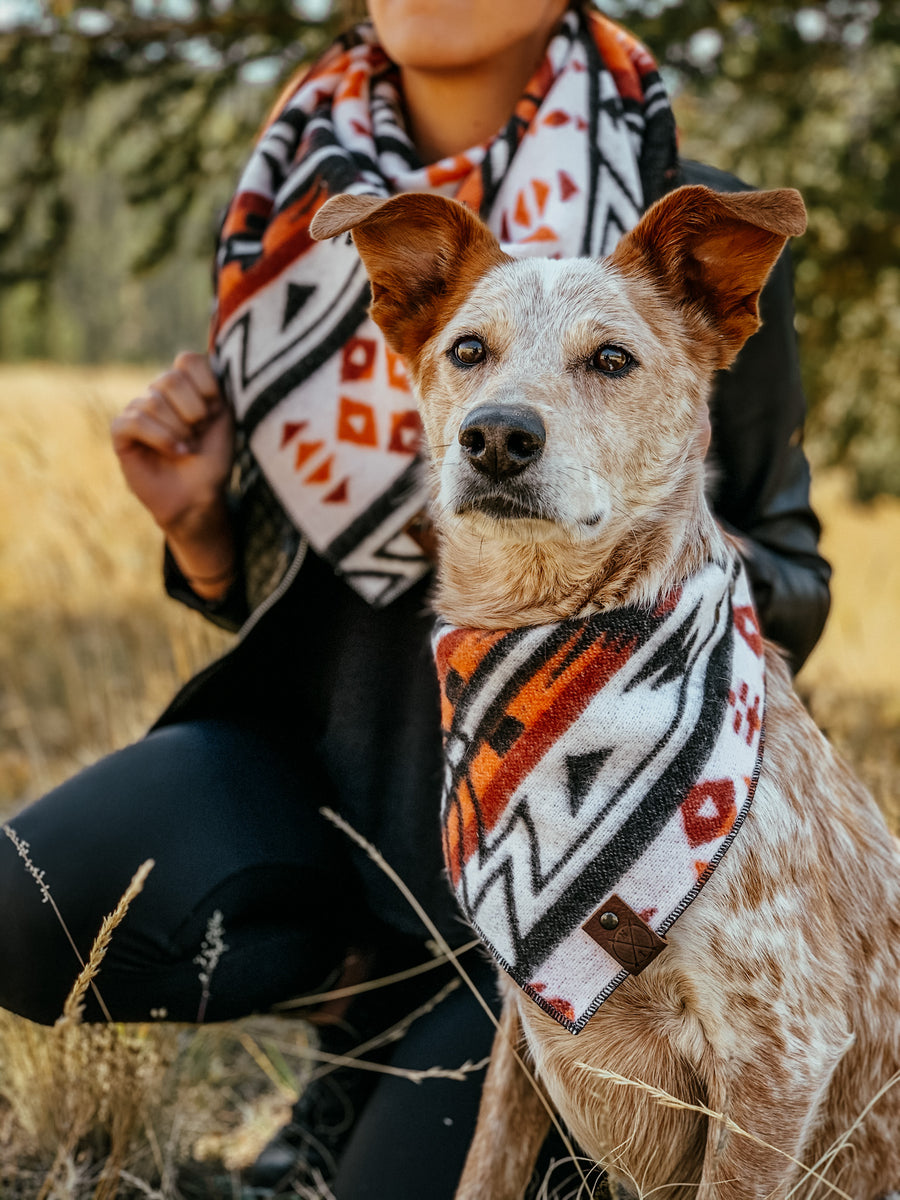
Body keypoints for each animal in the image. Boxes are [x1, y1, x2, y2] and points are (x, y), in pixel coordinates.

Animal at [312, 182, 900, 1195]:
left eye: (613, 359)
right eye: (468, 350)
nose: (497, 435)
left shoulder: (779, 1057)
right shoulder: (525, 1026)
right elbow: (486, 1166)